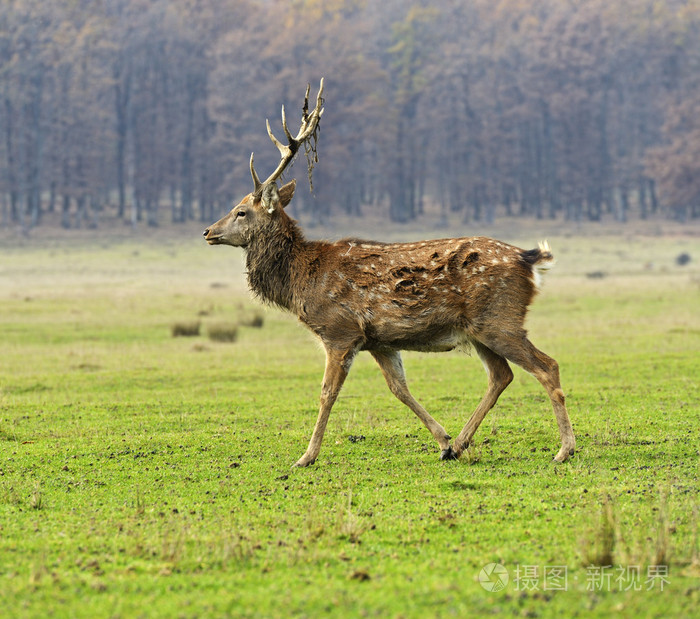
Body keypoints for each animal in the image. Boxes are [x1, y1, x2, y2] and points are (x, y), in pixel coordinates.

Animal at [202, 81, 576, 470]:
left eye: (241, 211)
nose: (208, 231)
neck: (302, 279)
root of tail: (530, 259)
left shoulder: (339, 331)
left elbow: (327, 392)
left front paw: (306, 456)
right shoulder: (379, 340)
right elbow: (399, 389)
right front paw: (442, 441)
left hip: (499, 318)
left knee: (547, 366)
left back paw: (564, 449)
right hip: (478, 330)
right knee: (501, 375)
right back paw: (461, 444)